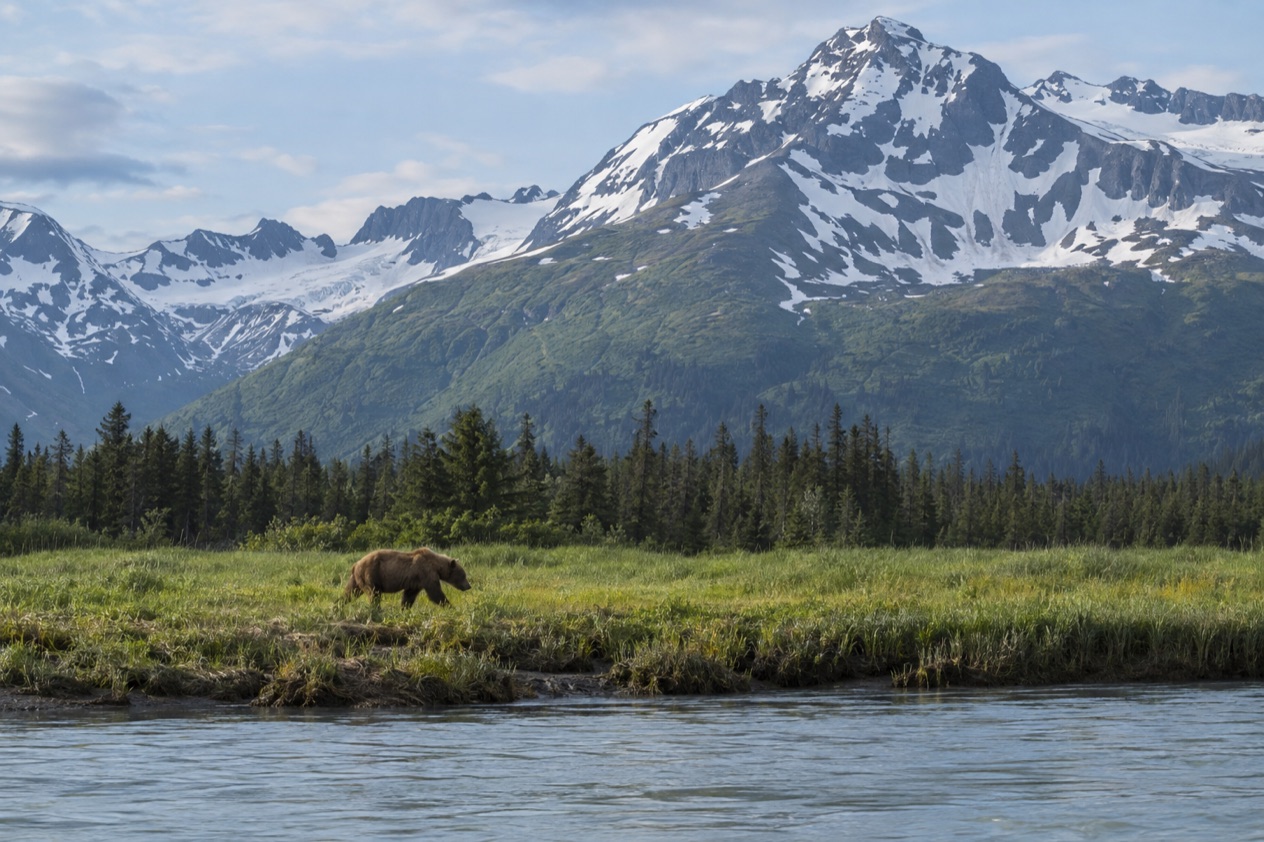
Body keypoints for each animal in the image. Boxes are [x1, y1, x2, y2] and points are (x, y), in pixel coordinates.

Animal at [343, 547, 471, 608]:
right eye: (463, 575)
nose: (468, 586)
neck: (436, 566)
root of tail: (356, 564)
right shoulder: (426, 573)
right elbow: (435, 593)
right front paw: (450, 606)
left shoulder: (416, 582)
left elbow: (409, 596)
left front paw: (404, 608)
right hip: (371, 574)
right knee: (374, 594)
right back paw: (376, 608)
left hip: (357, 578)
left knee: (350, 592)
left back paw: (339, 605)